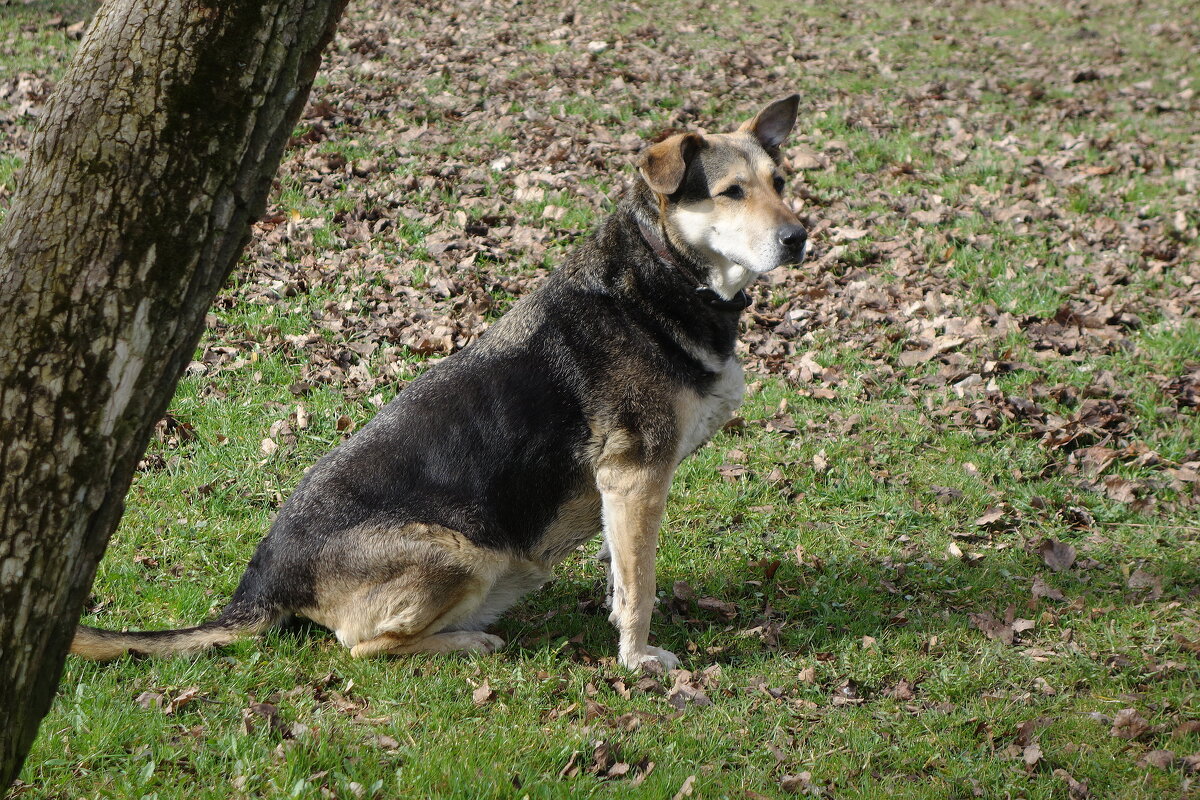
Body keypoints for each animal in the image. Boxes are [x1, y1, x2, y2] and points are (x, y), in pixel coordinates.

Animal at [72, 94, 806, 671]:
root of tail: (261, 584)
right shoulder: (636, 472)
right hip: (462, 551)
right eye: (731, 191)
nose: (800, 238)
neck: (665, 273)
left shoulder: (621, 491)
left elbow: (622, 574)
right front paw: (638, 658)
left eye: (779, 180)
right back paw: (465, 642)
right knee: (361, 646)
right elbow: (640, 586)